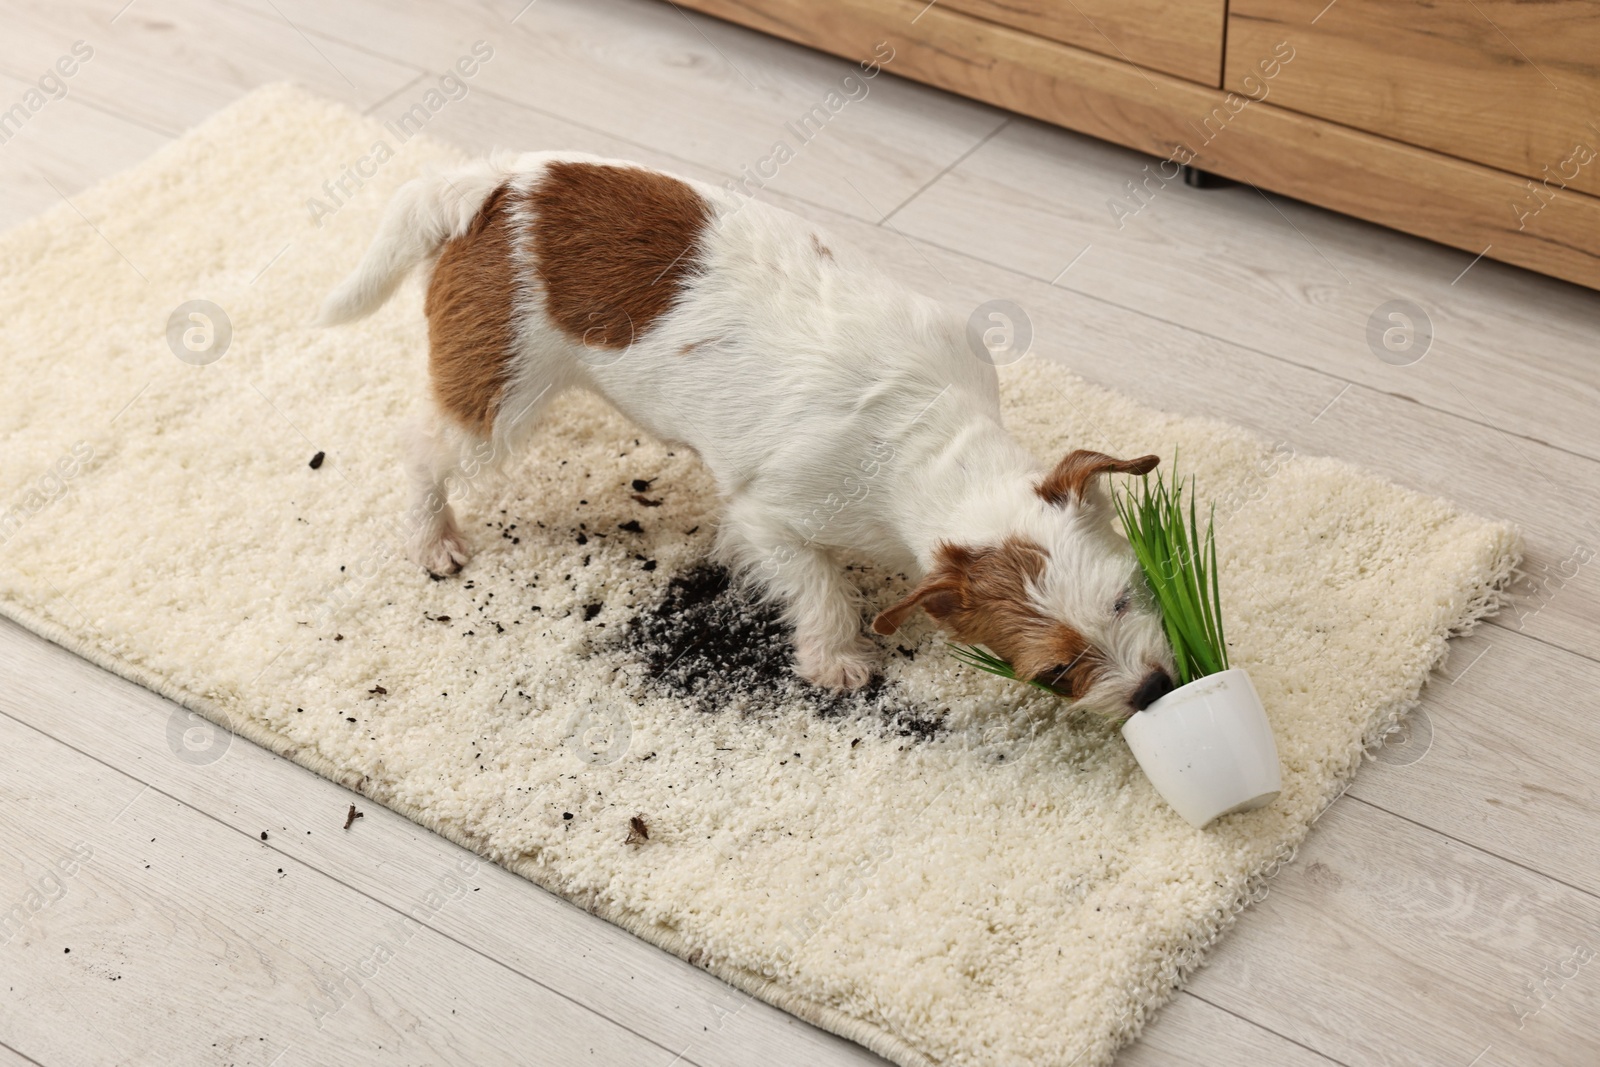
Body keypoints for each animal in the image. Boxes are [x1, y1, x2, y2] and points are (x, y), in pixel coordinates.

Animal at [321, 150, 1177, 716]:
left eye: (1126, 596)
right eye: (1052, 672)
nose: (1155, 688)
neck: (928, 437)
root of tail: (496, 184)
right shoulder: (772, 517)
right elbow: (819, 585)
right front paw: (837, 656)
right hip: (497, 393)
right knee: (422, 448)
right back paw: (432, 534)